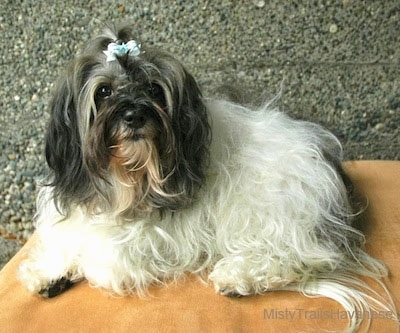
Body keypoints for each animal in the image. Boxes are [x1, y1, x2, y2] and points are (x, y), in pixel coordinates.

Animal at [18, 23, 394, 330]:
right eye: (104, 91)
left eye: (153, 90)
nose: (134, 114)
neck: (125, 180)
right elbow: (67, 240)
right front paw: (49, 271)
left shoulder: (149, 242)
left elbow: (102, 259)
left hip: (266, 208)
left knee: (301, 256)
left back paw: (237, 276)